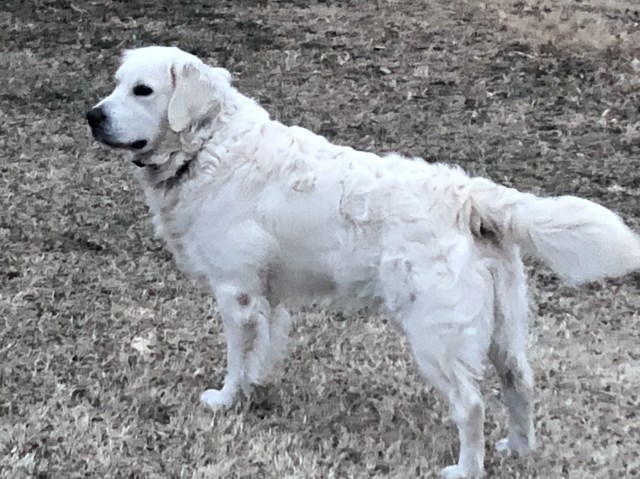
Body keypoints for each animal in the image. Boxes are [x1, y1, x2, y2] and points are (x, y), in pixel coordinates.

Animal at [86, 46, 640, 479]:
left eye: (143, 90)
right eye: (116, 85)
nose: (93, 115)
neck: (207, 146)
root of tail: (467, 195)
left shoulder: (235, 292)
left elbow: (238, 359)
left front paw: (227, 399)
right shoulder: (268, 297)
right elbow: (264, 350)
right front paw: (254, 391)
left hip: (435, 336)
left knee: (472, 405)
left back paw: (466, 467)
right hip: (504, 326)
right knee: (520, 383)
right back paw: (519, 449)